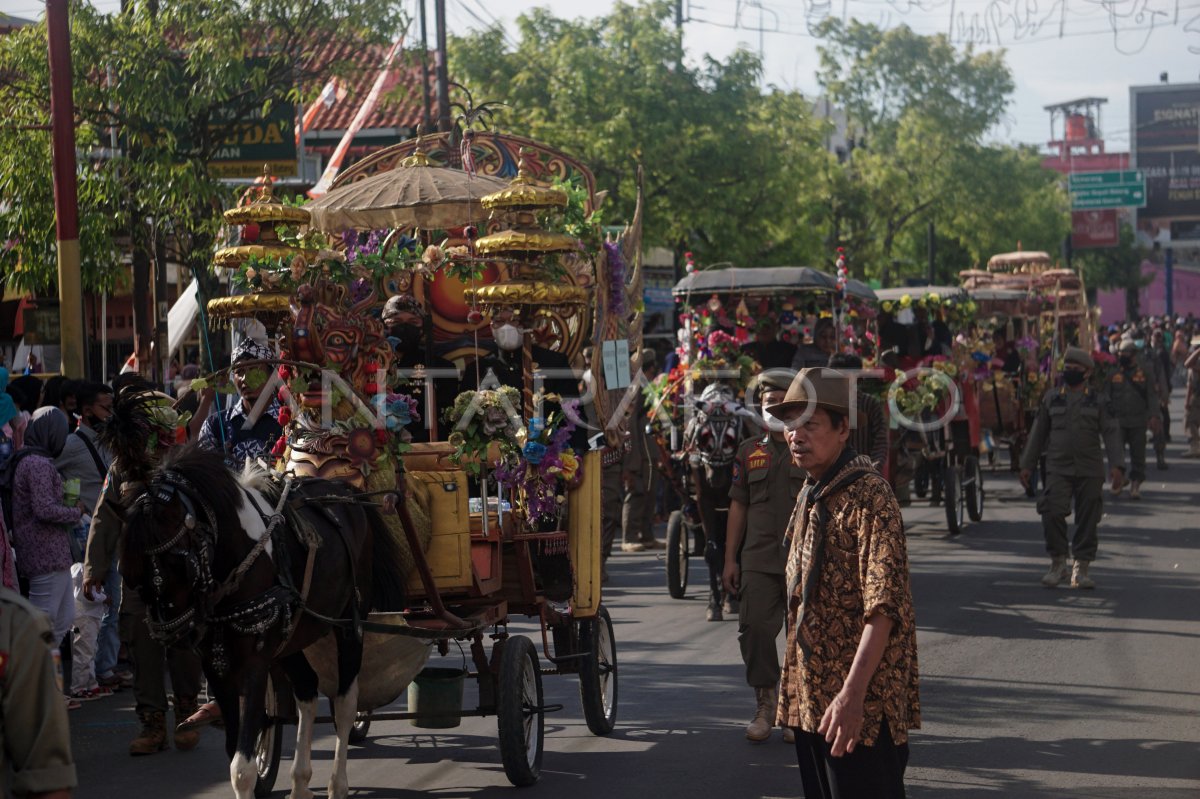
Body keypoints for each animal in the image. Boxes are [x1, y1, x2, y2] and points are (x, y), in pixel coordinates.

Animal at [120, 443, 408, 791]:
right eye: (132, 575)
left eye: (177, 562)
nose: (173, 635)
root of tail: (346, 493)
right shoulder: (216, 668)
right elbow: (234, 751)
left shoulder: (255, 665)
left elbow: (241, 768)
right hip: (291, 638)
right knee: (307, 690)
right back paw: (300, 782)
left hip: (350, 624)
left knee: (345, 704)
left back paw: (336, 784)